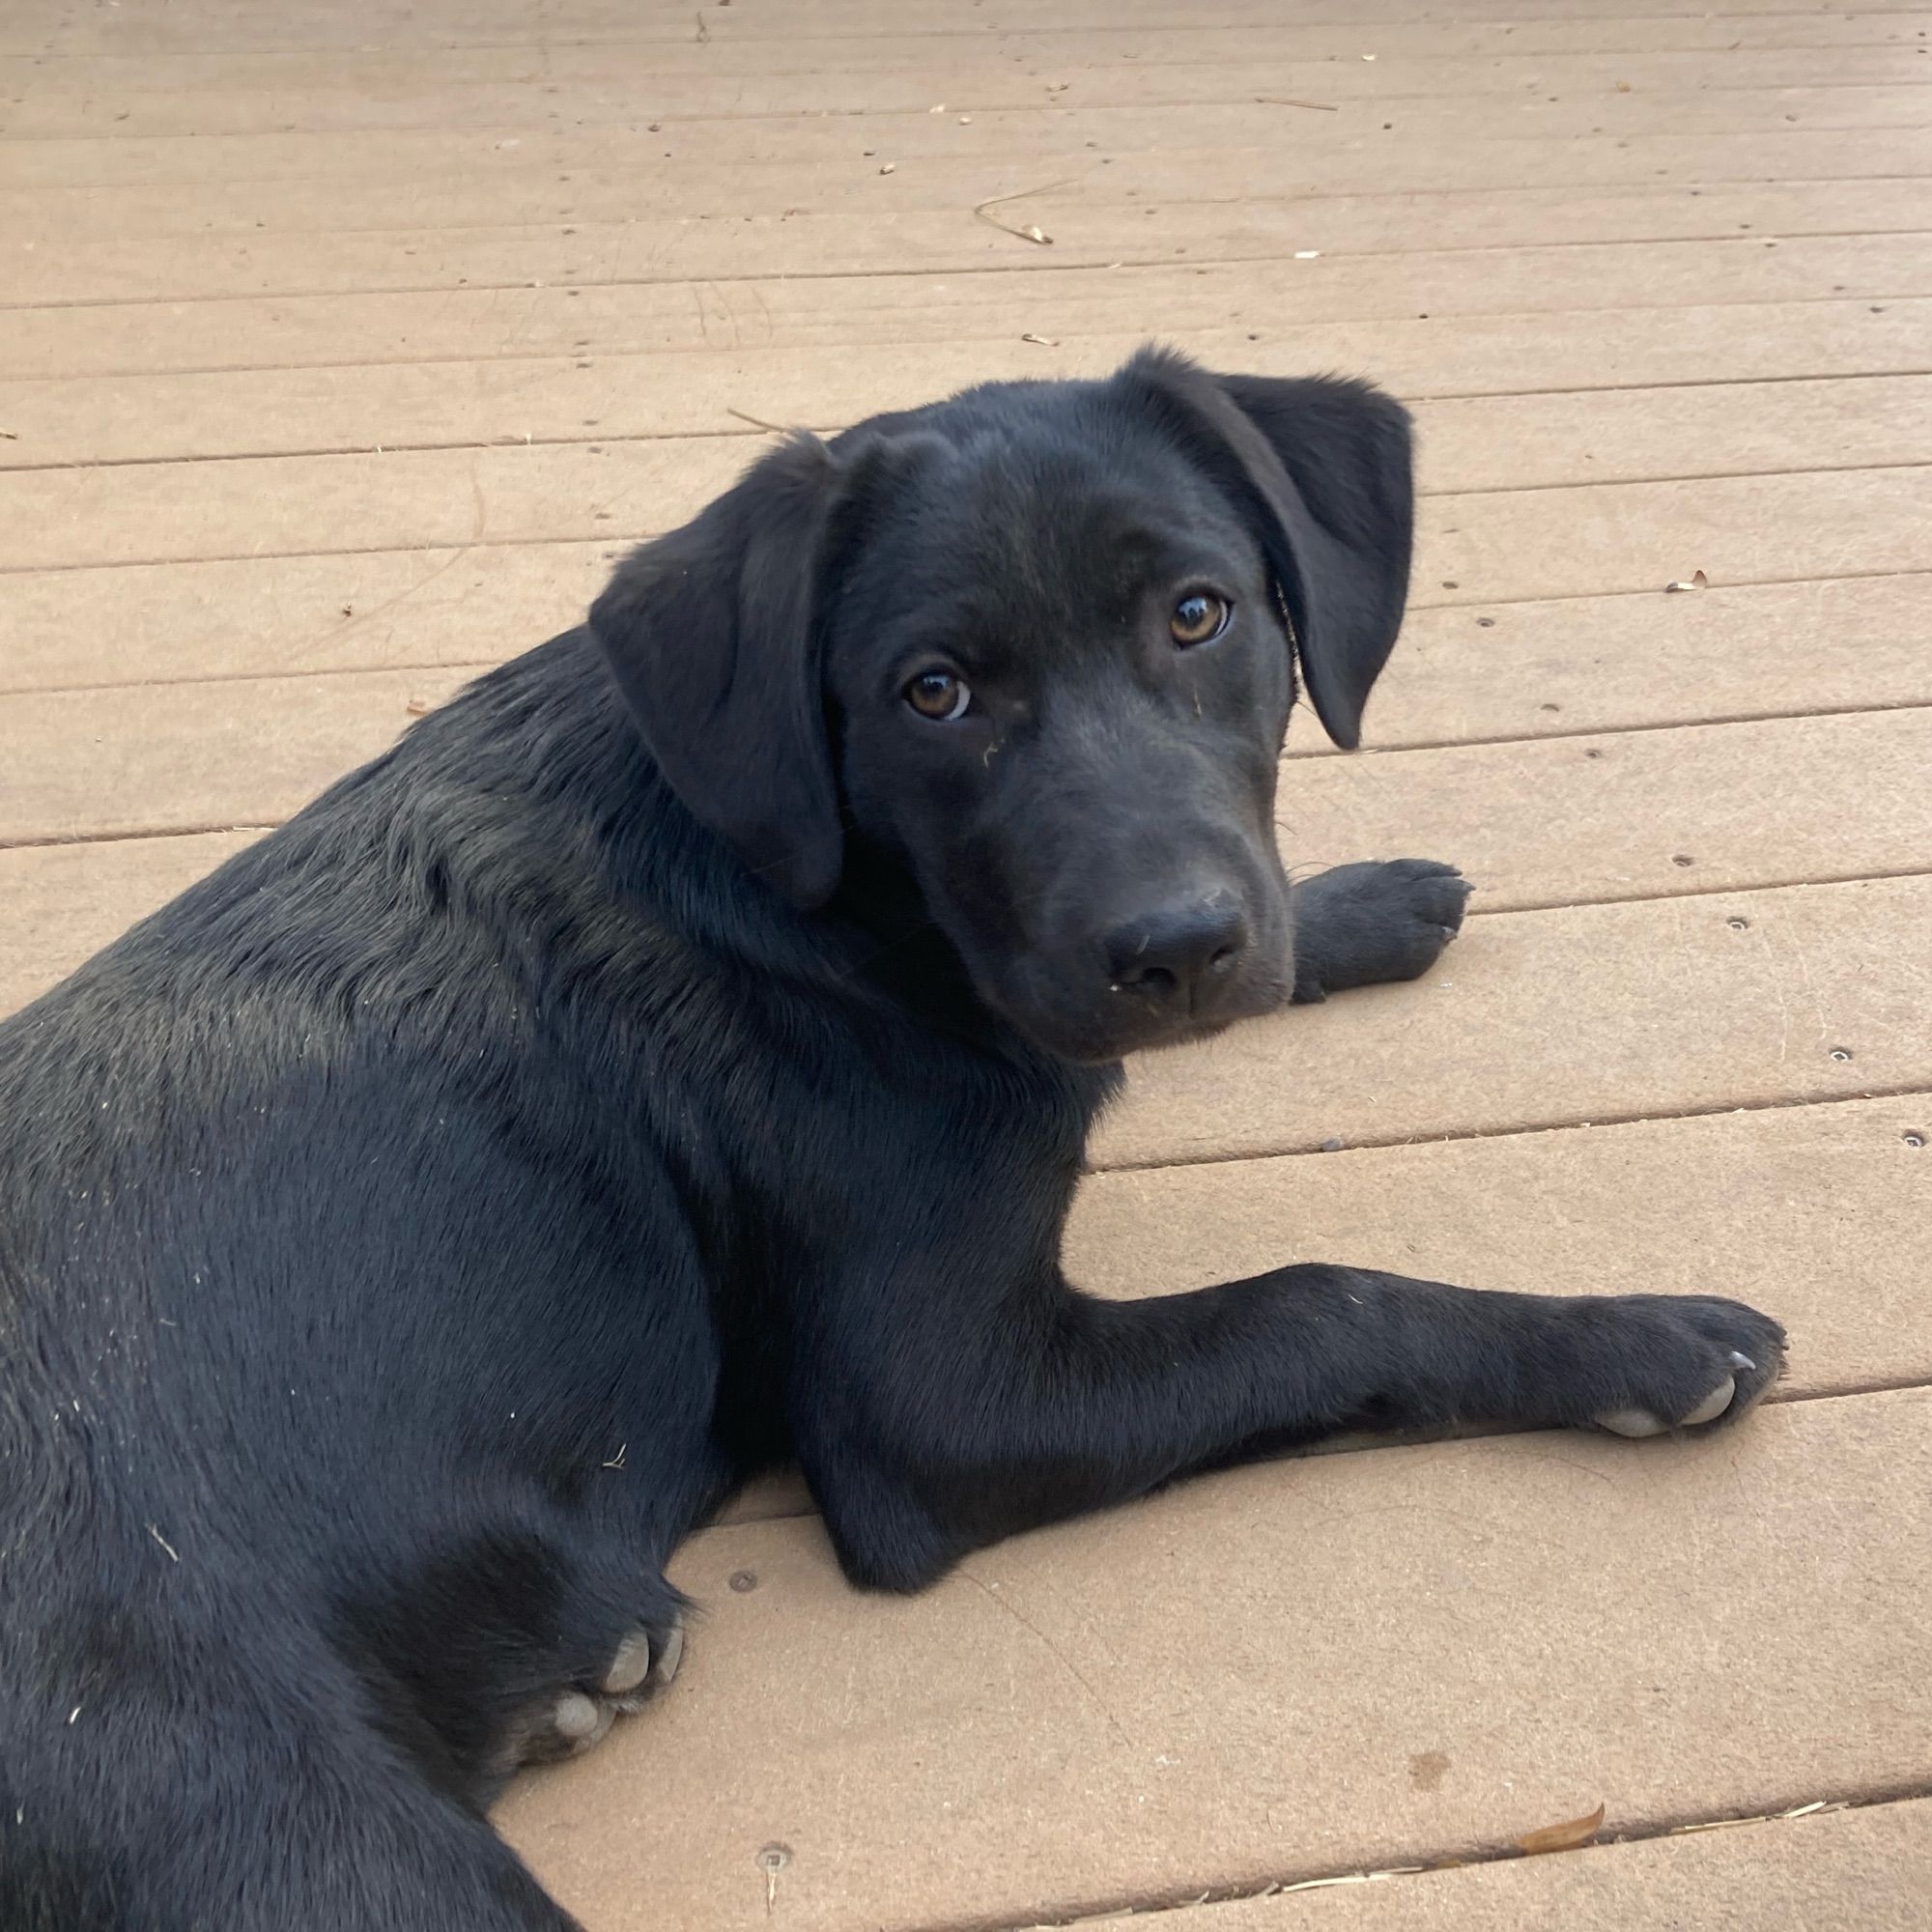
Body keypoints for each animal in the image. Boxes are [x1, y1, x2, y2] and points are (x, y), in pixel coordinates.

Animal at [0, 352, 1777, 1932]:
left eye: (1197, 614)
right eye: (937, 692)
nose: (1174, 946)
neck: (829, 896)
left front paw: (1354, 908)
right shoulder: (941, 1405)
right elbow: (1322, 1300)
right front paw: (1627, 1339)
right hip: (293, 1831)